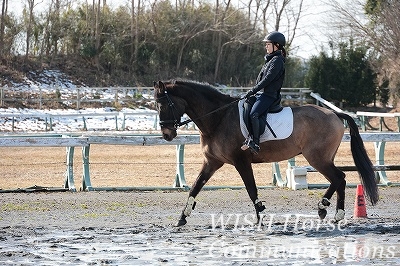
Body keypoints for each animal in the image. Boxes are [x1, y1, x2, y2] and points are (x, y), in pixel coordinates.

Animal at [152, 79, 378, 227]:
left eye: (163, 104)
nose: (166, 134)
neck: (218, 118)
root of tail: (334, 113)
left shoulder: (241, 161)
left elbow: (251, 188)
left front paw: (259, 215)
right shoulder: (212, 162)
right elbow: (195, 187)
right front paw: (182, 217)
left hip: (317, 158)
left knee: (339, 177)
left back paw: (327, 209)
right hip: (323, 158)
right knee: (340, 179)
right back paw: (333, 213)